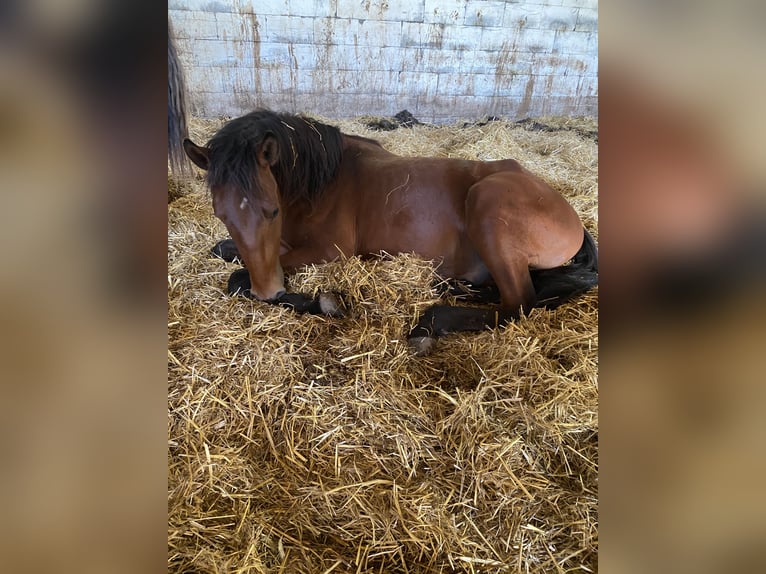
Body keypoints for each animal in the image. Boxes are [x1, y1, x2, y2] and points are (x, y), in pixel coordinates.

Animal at [186, 111, 600, 356]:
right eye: (221, 214)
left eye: (271, 210)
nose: (269, 291)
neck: (322, 182)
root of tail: (573, 220)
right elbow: (228, 252)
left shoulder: (326, 250)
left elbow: (237, 277)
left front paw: (327, 302)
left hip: (488, 204)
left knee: (519, 304)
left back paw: (430, 323)